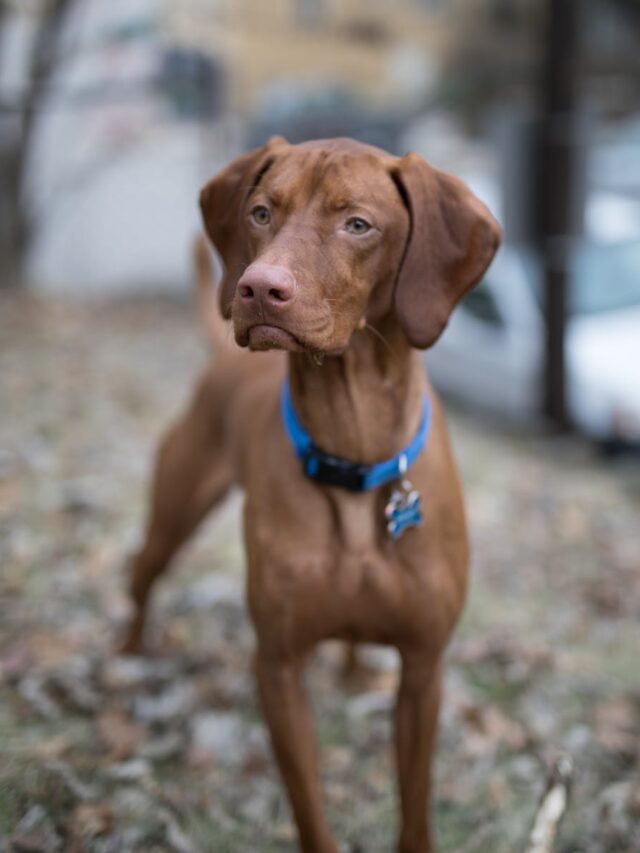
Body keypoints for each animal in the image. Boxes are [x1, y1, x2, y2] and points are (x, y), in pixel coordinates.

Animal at [121, 136, 500, 848]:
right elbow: (308, 807)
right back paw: (128, 656)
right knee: (143, 571)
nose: (256, 288)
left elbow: (415, 802)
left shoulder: (423, 670)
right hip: (176, 508)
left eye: (358, 224)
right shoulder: (277, 665)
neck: (351, 448)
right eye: (262, 212)